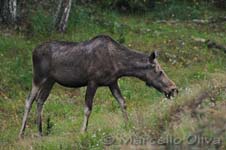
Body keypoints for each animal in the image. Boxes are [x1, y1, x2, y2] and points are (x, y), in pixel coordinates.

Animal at [18, 35, 177, 138]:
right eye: (159, 71)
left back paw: (40, 132)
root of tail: (33, 51)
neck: (120, 66)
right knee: (29, 100)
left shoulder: (112, 82)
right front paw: (83, 131)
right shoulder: (92, 81)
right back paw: (21, 133)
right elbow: (88, 109)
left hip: (51, 81)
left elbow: (123, 102)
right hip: (38, 77)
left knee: (40, 100)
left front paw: (128, 125)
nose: (173, 89)